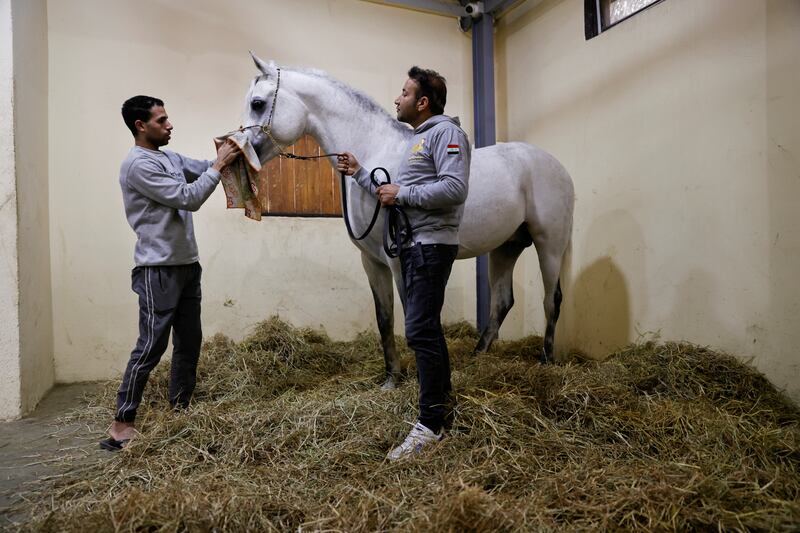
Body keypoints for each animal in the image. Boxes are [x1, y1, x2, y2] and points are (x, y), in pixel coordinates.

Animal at [241, 55, 572, 386]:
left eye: (257, 103)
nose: (243, 152)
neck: (374, 150)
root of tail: (559, 168)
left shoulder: (399, 259)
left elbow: (411, 315)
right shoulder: (372, 261)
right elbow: (385, 318)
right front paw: (391, 378)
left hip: (549, 245)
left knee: (552, 299)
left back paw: (547, 360)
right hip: (505, 248)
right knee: (502, 302)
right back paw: (478, 356)